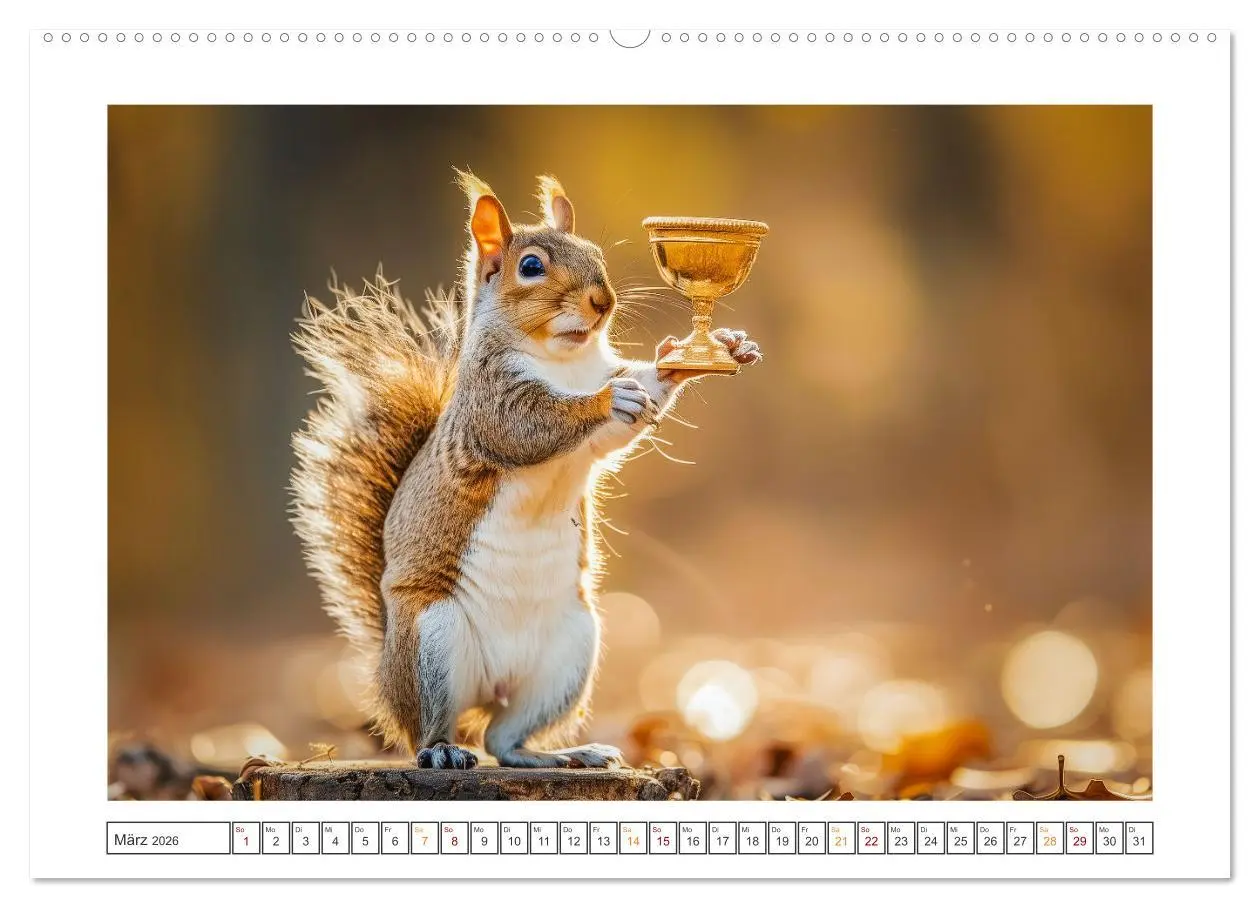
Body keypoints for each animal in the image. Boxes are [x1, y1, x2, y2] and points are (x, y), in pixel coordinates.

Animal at [291, 172, 762, 770]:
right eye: (531, 266)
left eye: (595, 254)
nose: (603, 301)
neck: (567, 360)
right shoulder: (490, 405)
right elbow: (528, 426)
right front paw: (608, 397)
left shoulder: (595, 427)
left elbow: (628, 415)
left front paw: (708, 353)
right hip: (432, 640)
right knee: (432, 729)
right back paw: (443, 752)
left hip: (570, 653)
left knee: (504, 740)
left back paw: (564, 755)